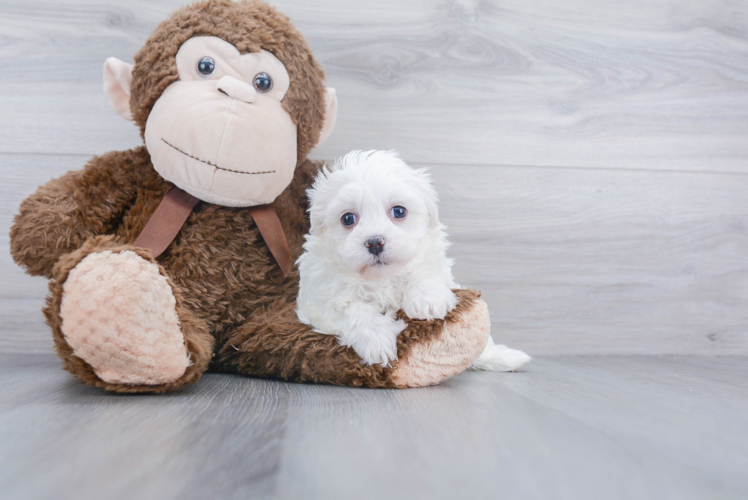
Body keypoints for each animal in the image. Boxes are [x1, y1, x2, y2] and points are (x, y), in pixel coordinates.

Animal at [296, 150, 528, 374]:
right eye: (347, 219)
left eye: (399, 211)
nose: (374, 242)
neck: (381, 278)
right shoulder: (318, 302)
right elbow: (351, 308)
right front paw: (377, 339)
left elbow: (424, 272)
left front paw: (427, 300)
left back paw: (506, 358)